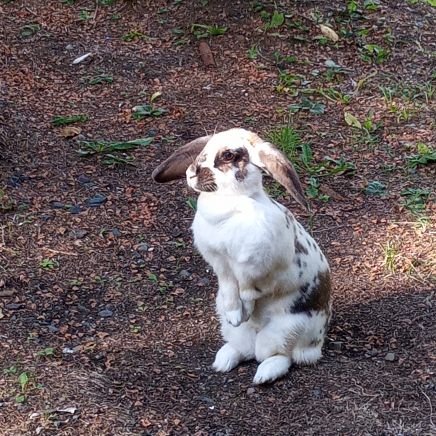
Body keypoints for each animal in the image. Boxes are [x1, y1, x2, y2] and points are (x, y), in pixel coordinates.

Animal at [152, 127, 330, 384]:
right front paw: (235, 316)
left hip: (287, 332)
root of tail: (317, 342)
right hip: (237, 330)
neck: (230, 203)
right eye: (204, 149)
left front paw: (242, 313)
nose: (191, 173)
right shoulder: (221, 265)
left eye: (228, 155)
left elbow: (248, 291)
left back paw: (264, 375)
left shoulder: (253, 269)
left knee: (281, 356)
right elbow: (229, 289)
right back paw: (223, 360)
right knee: (245, 349)